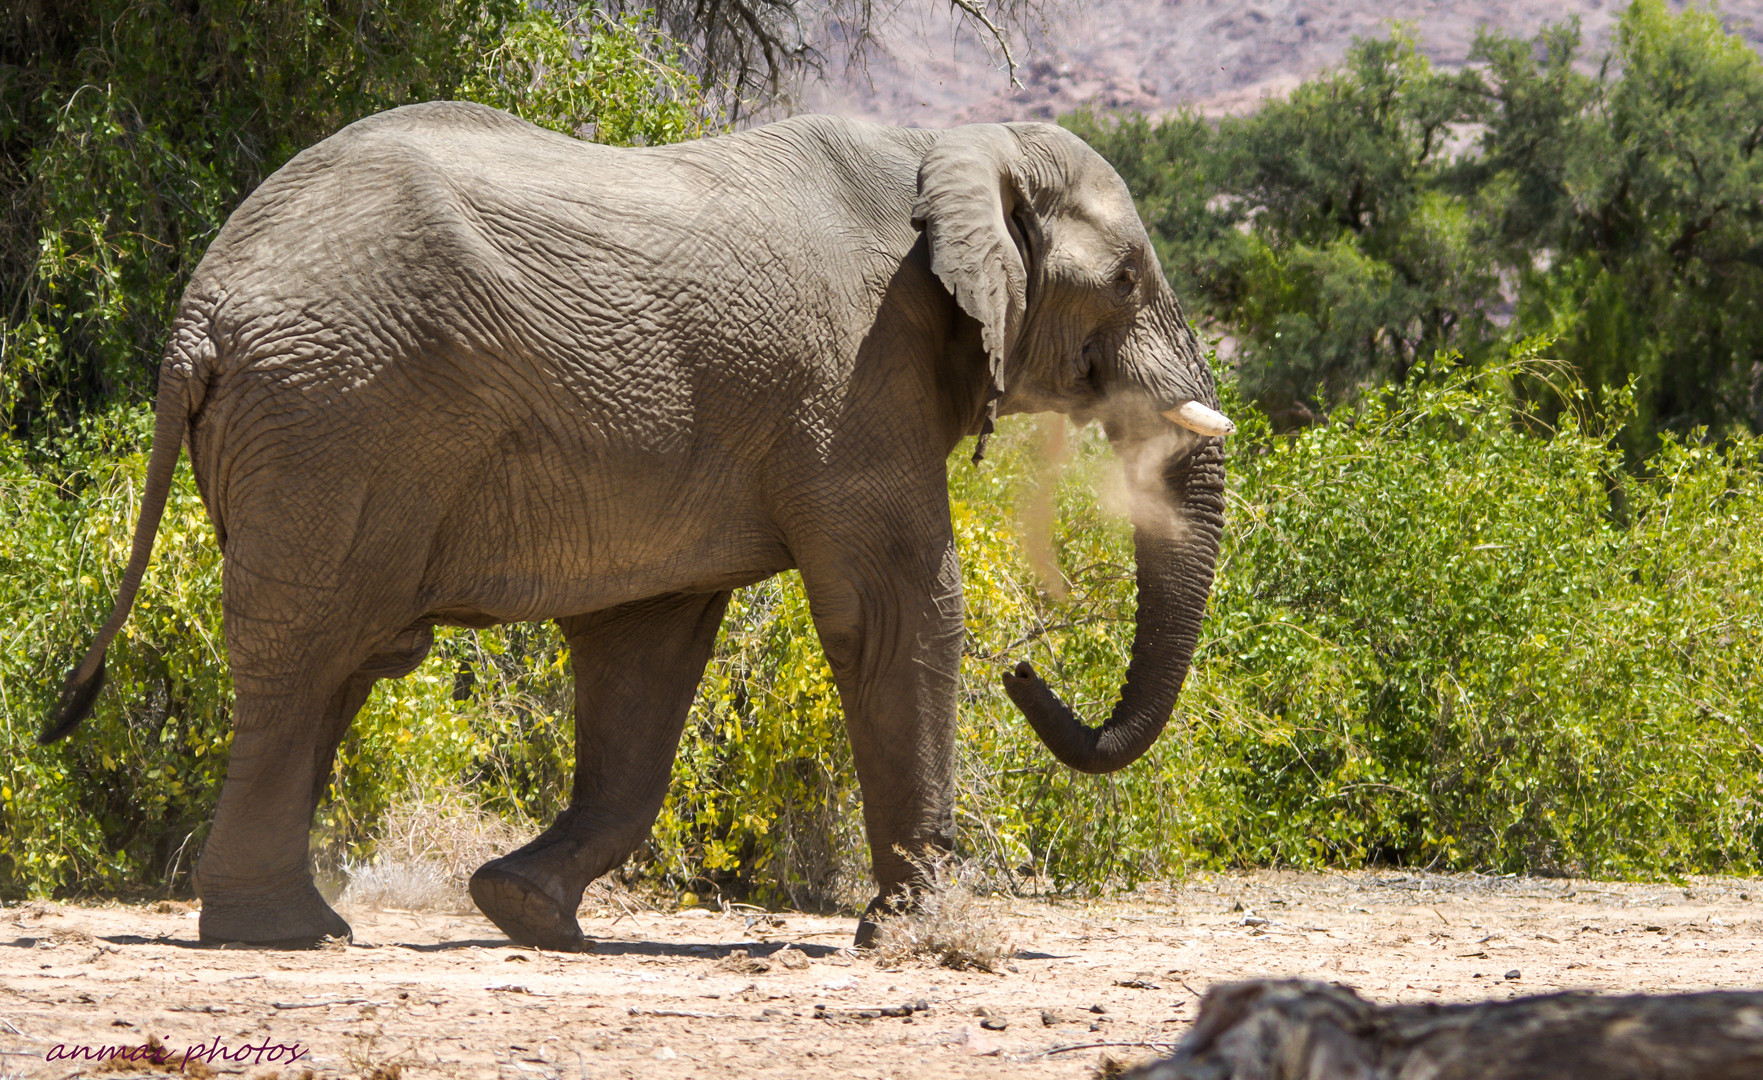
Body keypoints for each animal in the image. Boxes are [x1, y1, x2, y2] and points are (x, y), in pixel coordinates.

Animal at [37, 99, 1227, 944]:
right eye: (1128, 280)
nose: (1029, 674)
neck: (950, 147)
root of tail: (198, 318)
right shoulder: (855, 377)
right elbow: (894, 609)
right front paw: (915, 932)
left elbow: (647, 655)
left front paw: (521, 909)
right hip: (333, 416)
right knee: (310, 654)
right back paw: (280, 933)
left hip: (303, 423)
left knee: (331, 664)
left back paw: (309, 923)